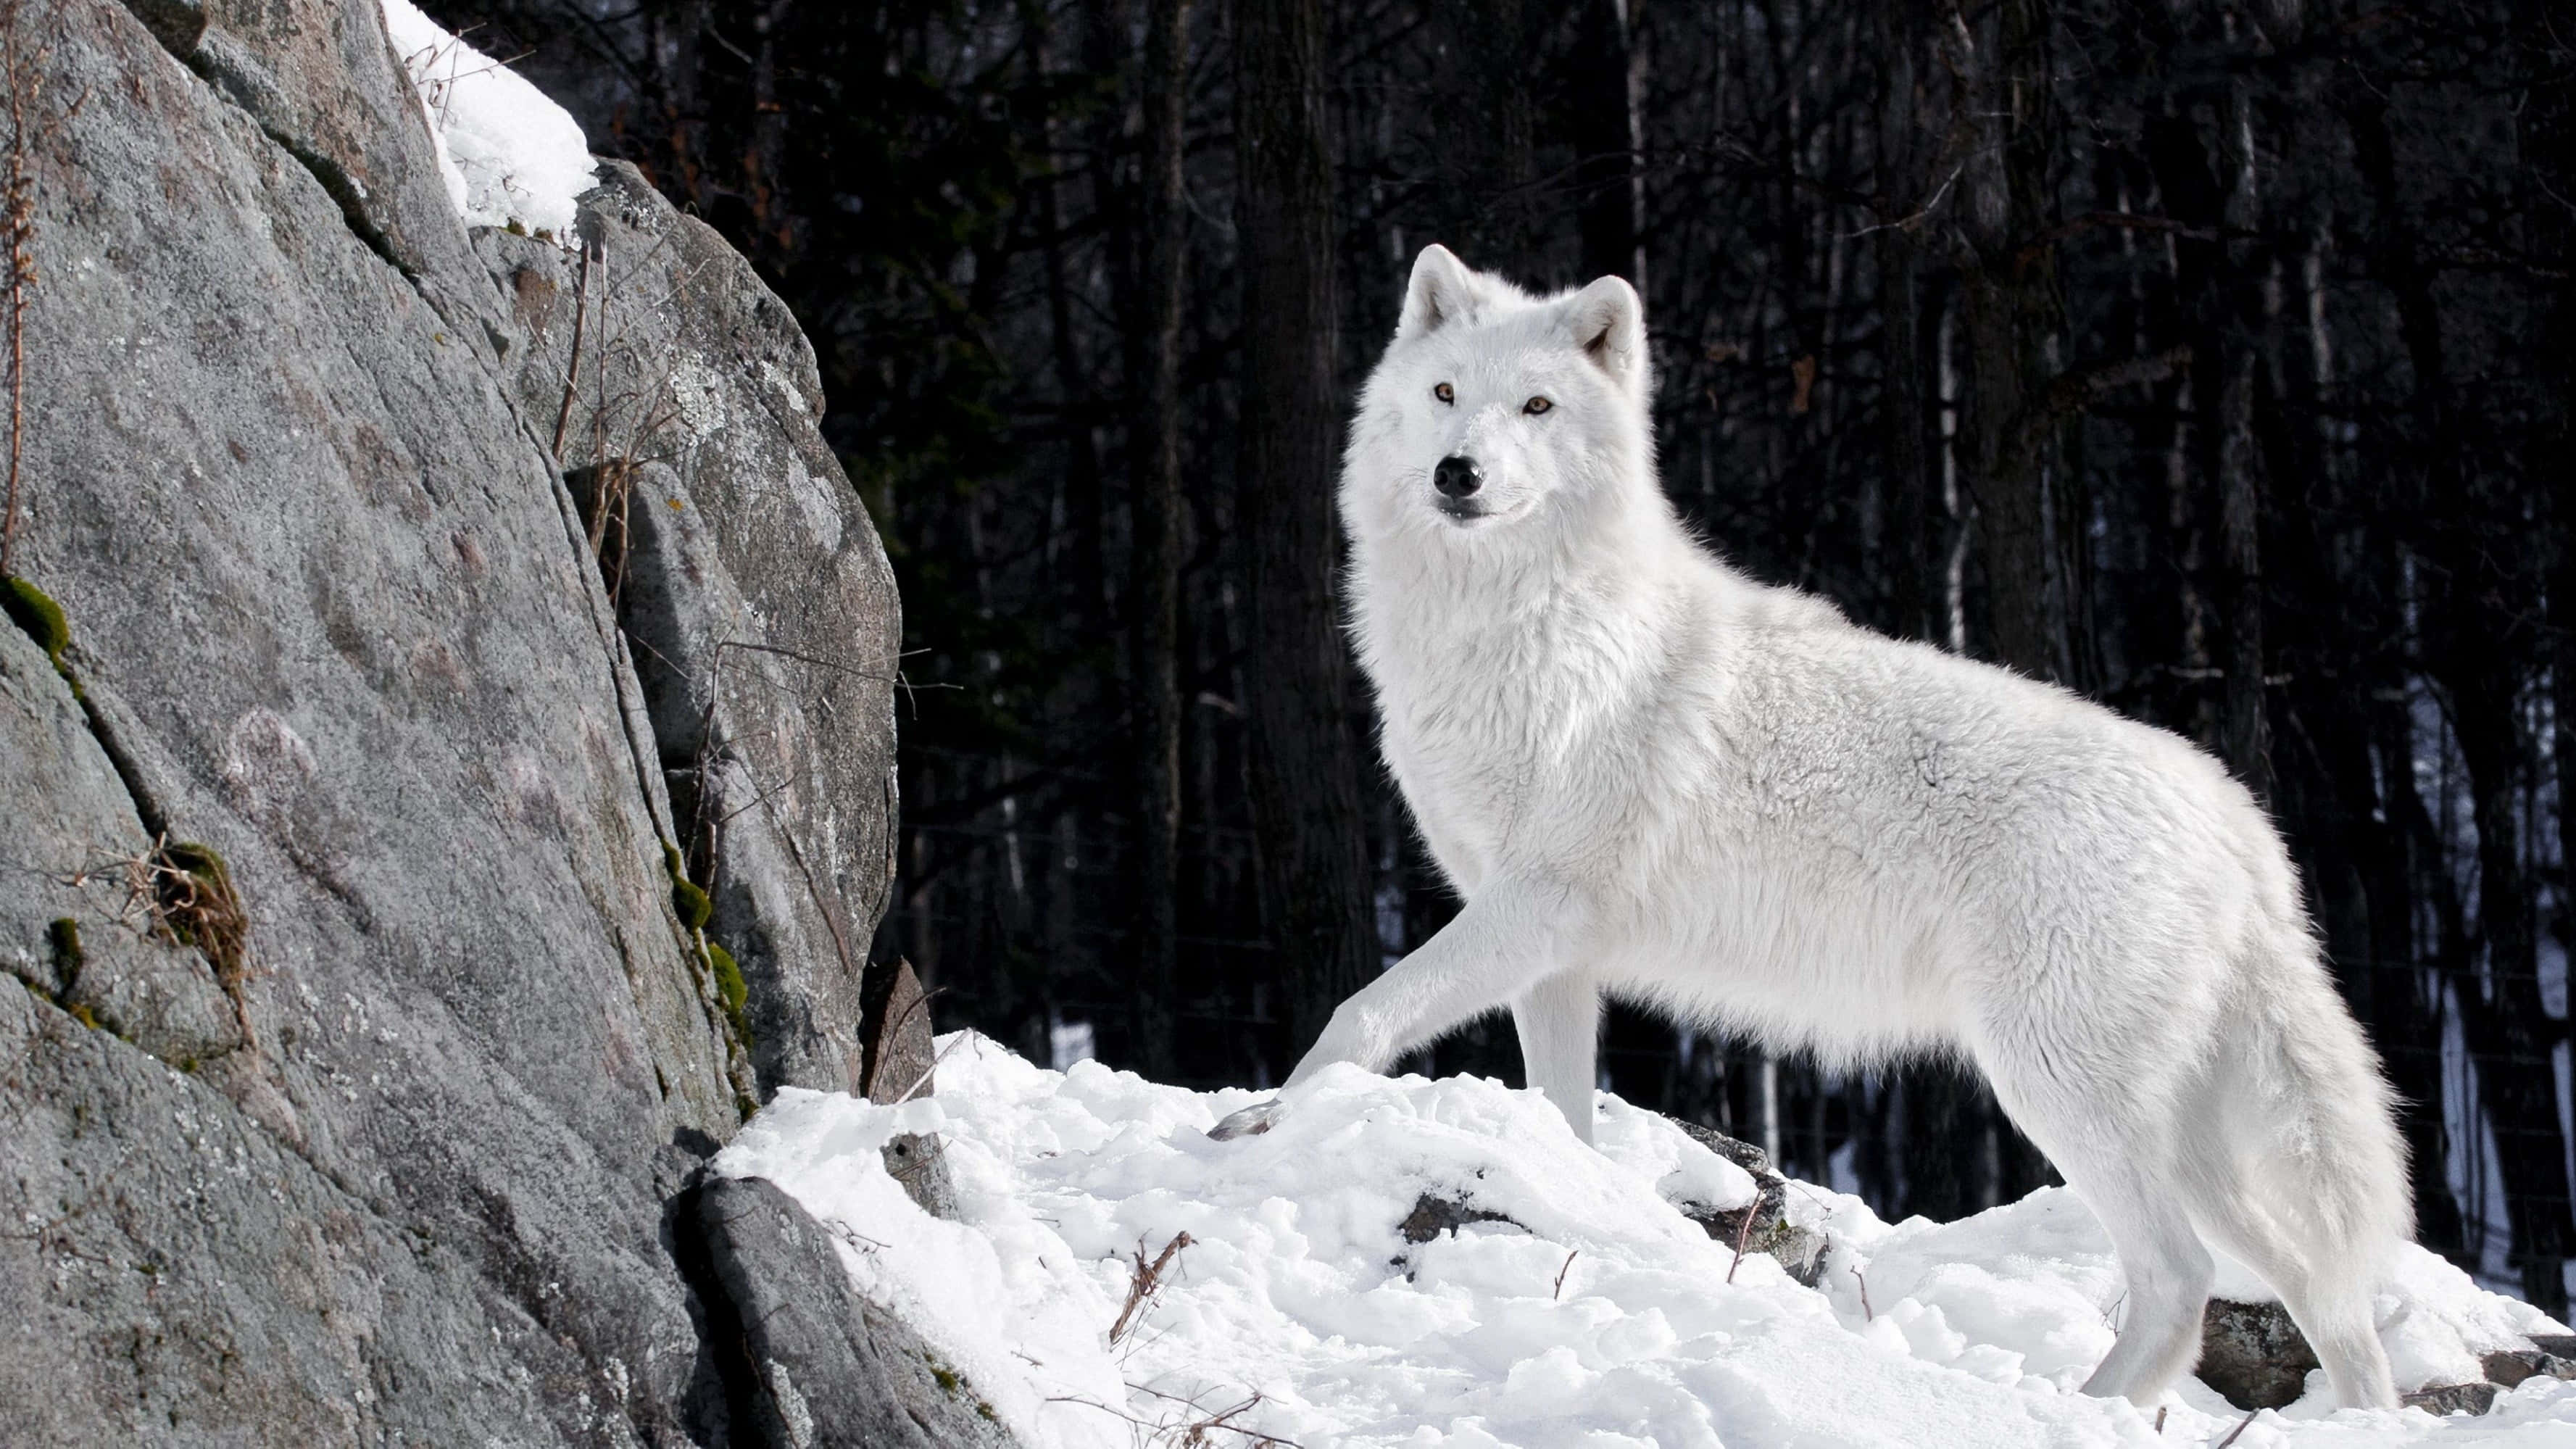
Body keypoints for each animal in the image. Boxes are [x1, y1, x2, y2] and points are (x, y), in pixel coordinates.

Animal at [1210, 244, 2411, 1410]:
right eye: (1447, 394)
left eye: (1537, 406)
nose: (1456, 472)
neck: (1519, 627)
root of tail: (2236, 815)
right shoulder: (1551, 954)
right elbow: (1561, 1115)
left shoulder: (1533, 906)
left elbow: (1358, 1014)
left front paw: (1260, 1124)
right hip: (2187, 1142)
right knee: (2320, 1287)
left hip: (2055, 1088)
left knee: (2180, 1278)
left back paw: (2077, 1409)